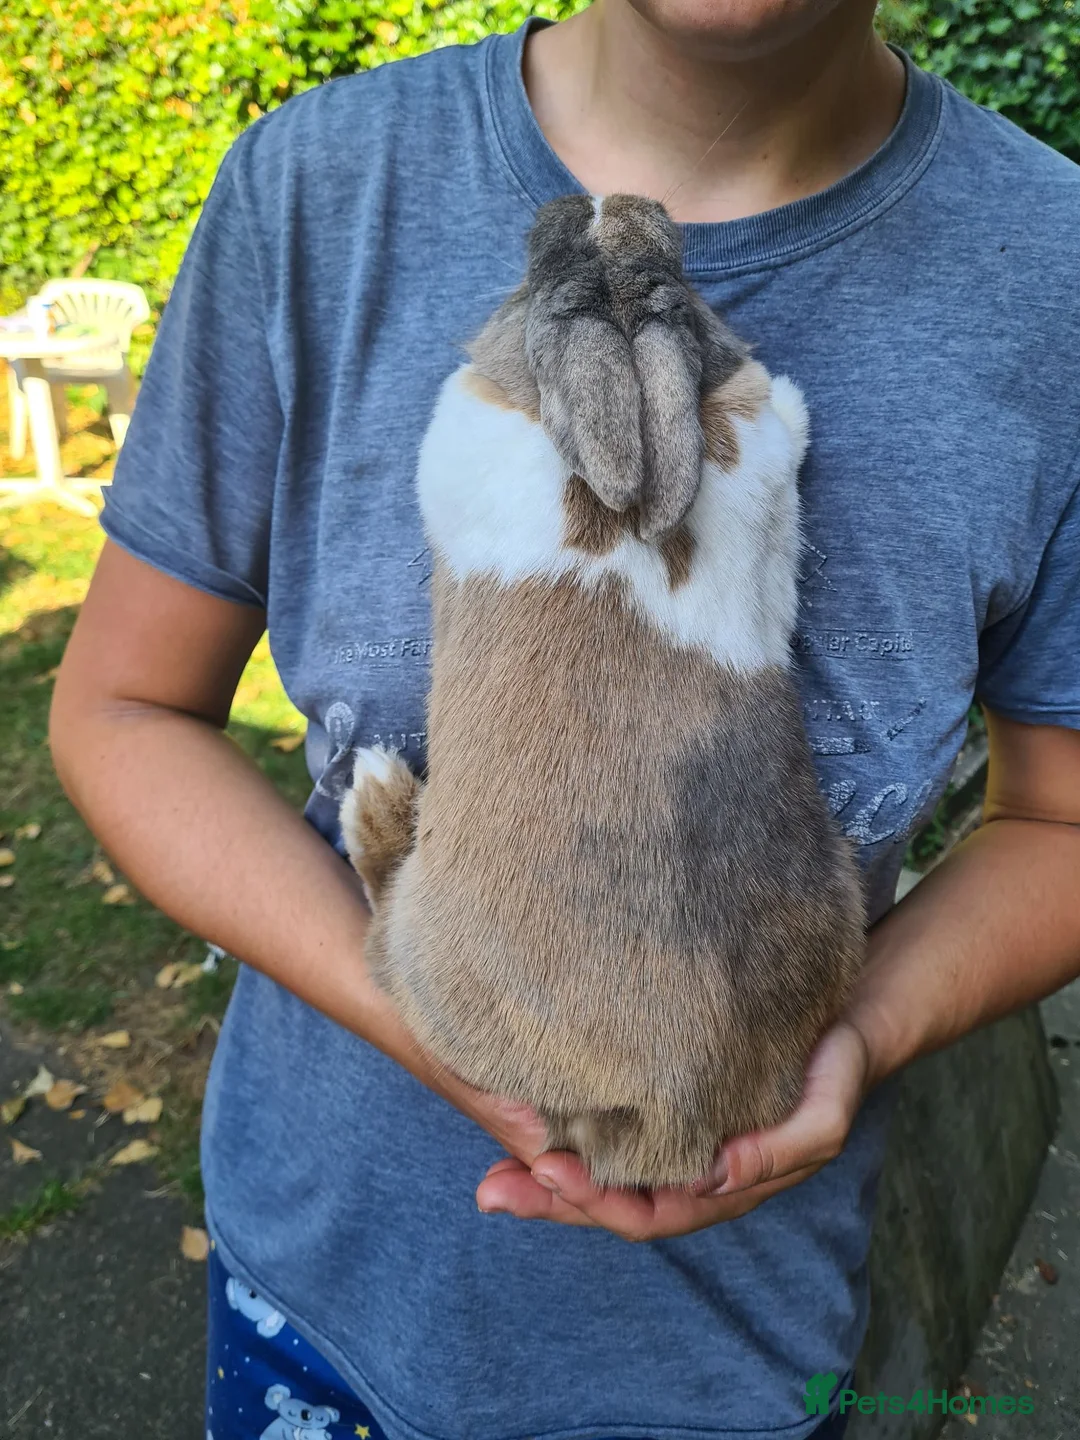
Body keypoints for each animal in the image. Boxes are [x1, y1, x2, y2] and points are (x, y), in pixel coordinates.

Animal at [339, 193, 865, 1190]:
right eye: (672, 293)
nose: (607, 200)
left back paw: (378, 800)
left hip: (418, 956)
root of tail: (669, 1107)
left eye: (553, 287)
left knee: (380, 923)